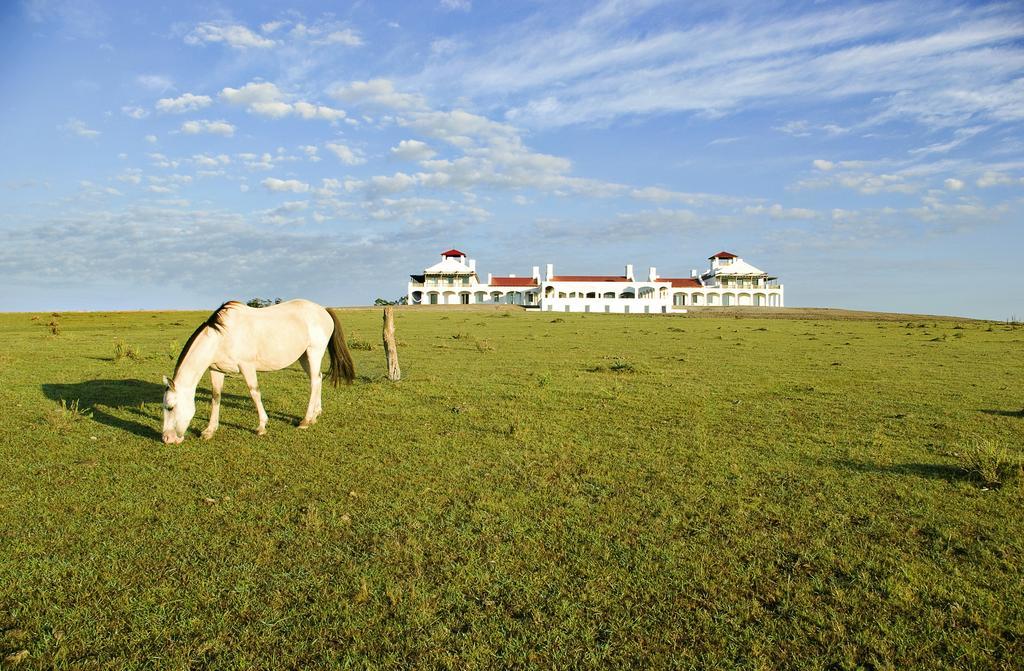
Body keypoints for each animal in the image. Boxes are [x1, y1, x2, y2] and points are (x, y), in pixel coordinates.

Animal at [158, 301, 352, 444]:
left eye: (170, 407)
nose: (167, 439)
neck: (223, 337)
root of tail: (323, 310)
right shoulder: (216, 369)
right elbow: (216, 396)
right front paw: (209, 430)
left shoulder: (247, 366)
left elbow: (254, 393)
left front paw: (261, 426)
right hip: (304, 357)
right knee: (317, 378)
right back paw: (315, 415)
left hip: (314, 353)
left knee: (314, 382)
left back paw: (305, 420)